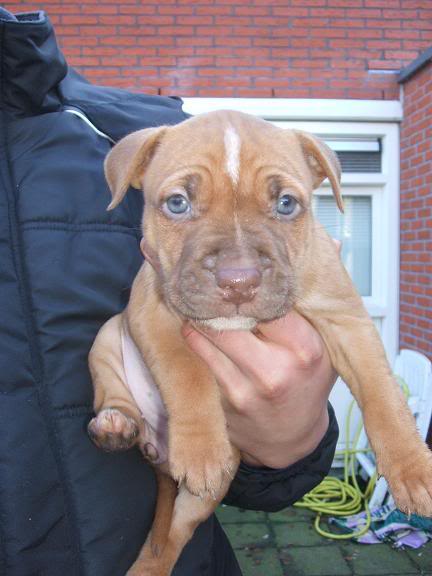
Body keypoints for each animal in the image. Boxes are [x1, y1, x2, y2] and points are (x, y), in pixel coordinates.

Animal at [87, 110, 432, 572]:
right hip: (108, 336)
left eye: (286, 204)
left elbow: (382, 394)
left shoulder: (348, 322)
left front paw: (412, 468)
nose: (239, 280)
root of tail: (152, 450)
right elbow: (186, 371)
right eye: (177, 203)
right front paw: (201, 448)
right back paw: (115, 425)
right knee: (113, 397)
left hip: (203, 495)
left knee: (174, 535)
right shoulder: (151, 312)